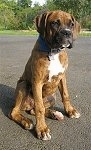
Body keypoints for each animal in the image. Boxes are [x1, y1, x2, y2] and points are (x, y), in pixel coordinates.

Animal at [9, 10, 80, 141]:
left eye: (71, 24)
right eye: (54, 23)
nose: (67, 32)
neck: (54, 51)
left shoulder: (62, 77)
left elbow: (65, 95)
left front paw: (70, 111)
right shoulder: (37, 82)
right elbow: (40, 108)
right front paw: (42, 129)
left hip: (52, 97)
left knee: (33, 110)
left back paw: (54, 113)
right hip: (23, 85)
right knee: (16, 111)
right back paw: (26, 121)